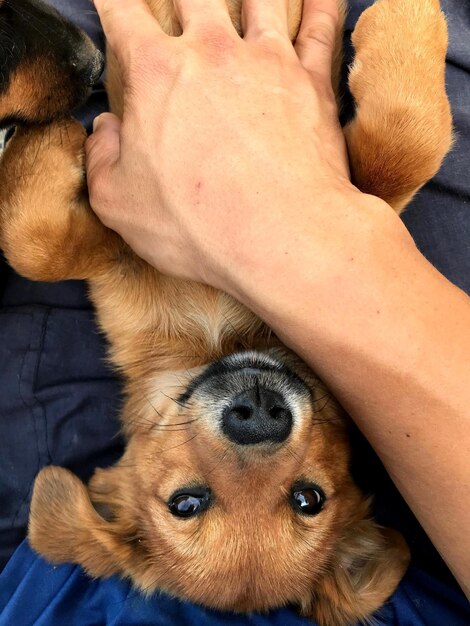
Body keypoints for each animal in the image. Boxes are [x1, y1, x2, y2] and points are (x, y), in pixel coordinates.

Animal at [0, 1, 456, 624]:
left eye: (308, 497)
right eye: (186, 503)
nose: (260, 415)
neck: (218, 339)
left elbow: (401, 149)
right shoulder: (122, 247)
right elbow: (33, 244)